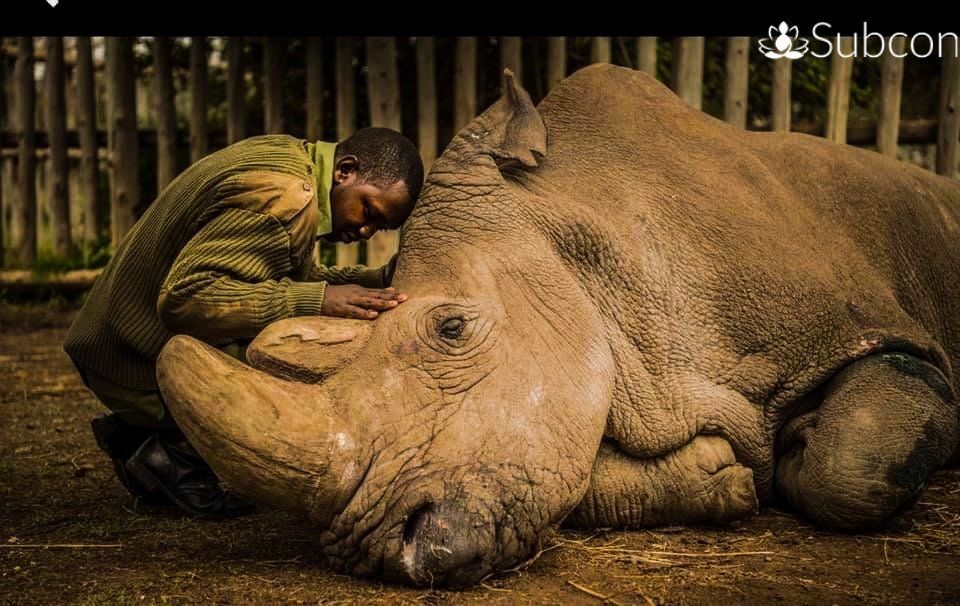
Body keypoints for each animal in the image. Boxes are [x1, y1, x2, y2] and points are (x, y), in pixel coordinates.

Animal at [156, 64, 960, 587]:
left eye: (452, 329)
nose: (384, 551)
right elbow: (570, 474)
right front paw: (724, 476)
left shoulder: (870, 331)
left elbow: (849, 466)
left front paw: (798, 449)